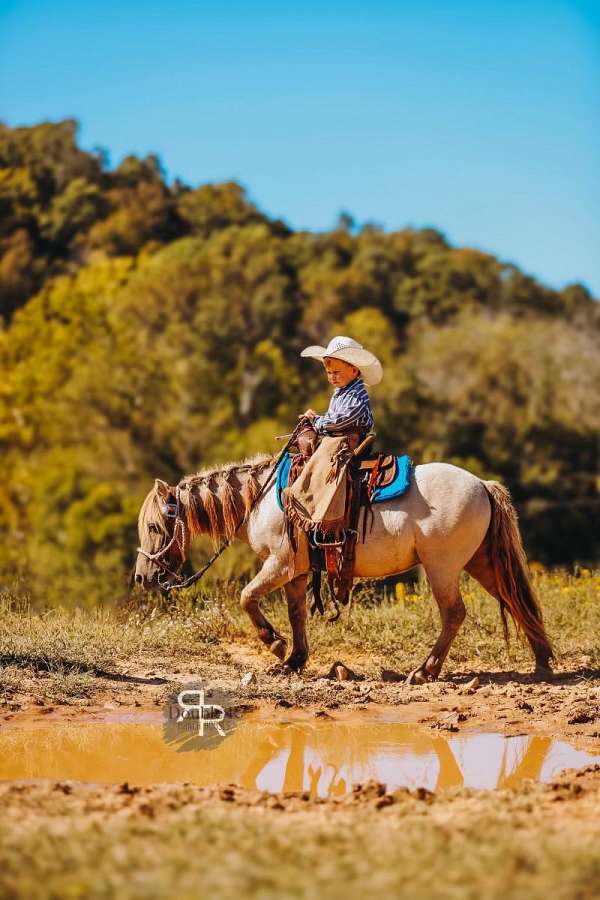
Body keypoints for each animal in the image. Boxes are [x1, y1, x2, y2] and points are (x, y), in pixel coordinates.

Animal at [134, 454, 554, 683]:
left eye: (154, 527)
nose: (142, 577)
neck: (263, 498)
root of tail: (482, 484)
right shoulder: (297, 571)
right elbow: (297, 613)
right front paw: (293, 661)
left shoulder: (279, 563)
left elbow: (247, 597)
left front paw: (275, 644)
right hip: (483, 561)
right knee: (516, 600)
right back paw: (542, 664)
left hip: (443, 568)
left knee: (454, 613)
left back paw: (424, 672)